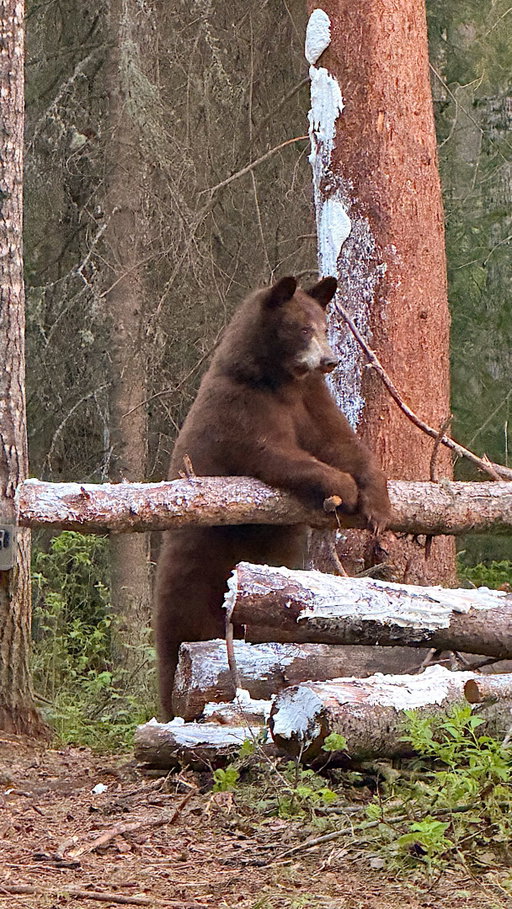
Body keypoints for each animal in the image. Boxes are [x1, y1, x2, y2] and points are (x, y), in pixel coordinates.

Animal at [155, 275, 391, 717]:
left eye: (325, 326)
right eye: (302, 329)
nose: (330, 361)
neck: (279, 379)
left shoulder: (311, 399)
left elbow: (341, 442)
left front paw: (378, 503)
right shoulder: (240, 407)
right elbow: (275, 453)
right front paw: (344, 487)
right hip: (189, 585)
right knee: (176, 644)